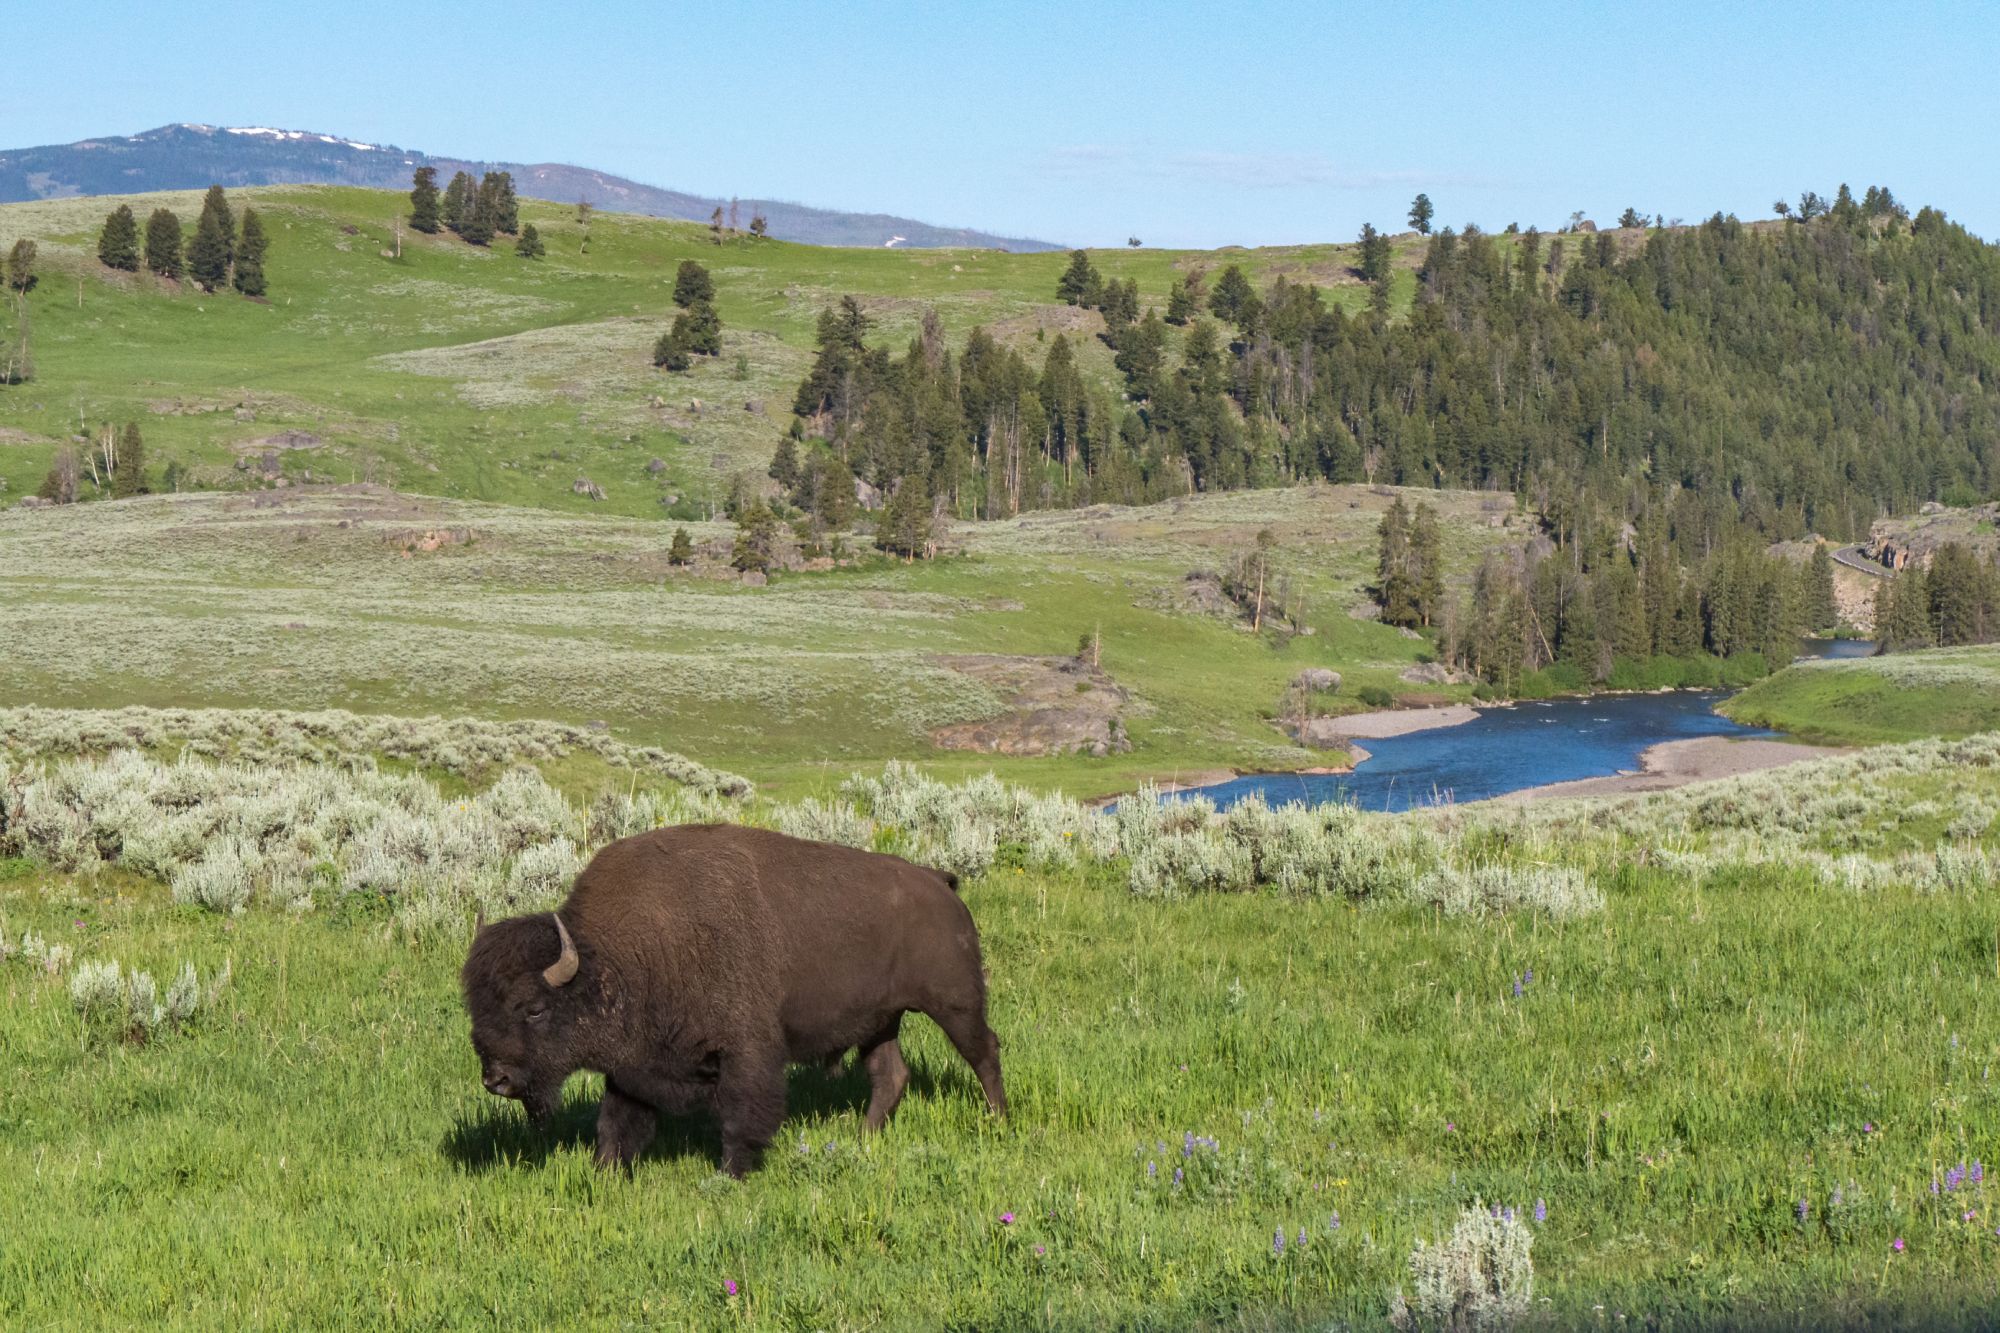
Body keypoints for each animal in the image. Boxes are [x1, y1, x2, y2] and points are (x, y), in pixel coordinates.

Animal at [460, 820, 1008, 1176]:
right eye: (476, 1008)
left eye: (534, 1008)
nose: (496, 1079)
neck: (617, 959)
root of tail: (938, 882)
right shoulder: (633, 1066)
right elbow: (615, 1123)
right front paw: (605, 1172)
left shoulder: (747, 1052)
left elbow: (741, 1115)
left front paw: (731, 1174)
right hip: (879, 1022)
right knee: (889, 1075)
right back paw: (862, 1140)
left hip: (955, 1003)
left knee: (984, 1052)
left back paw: (998, 1119)